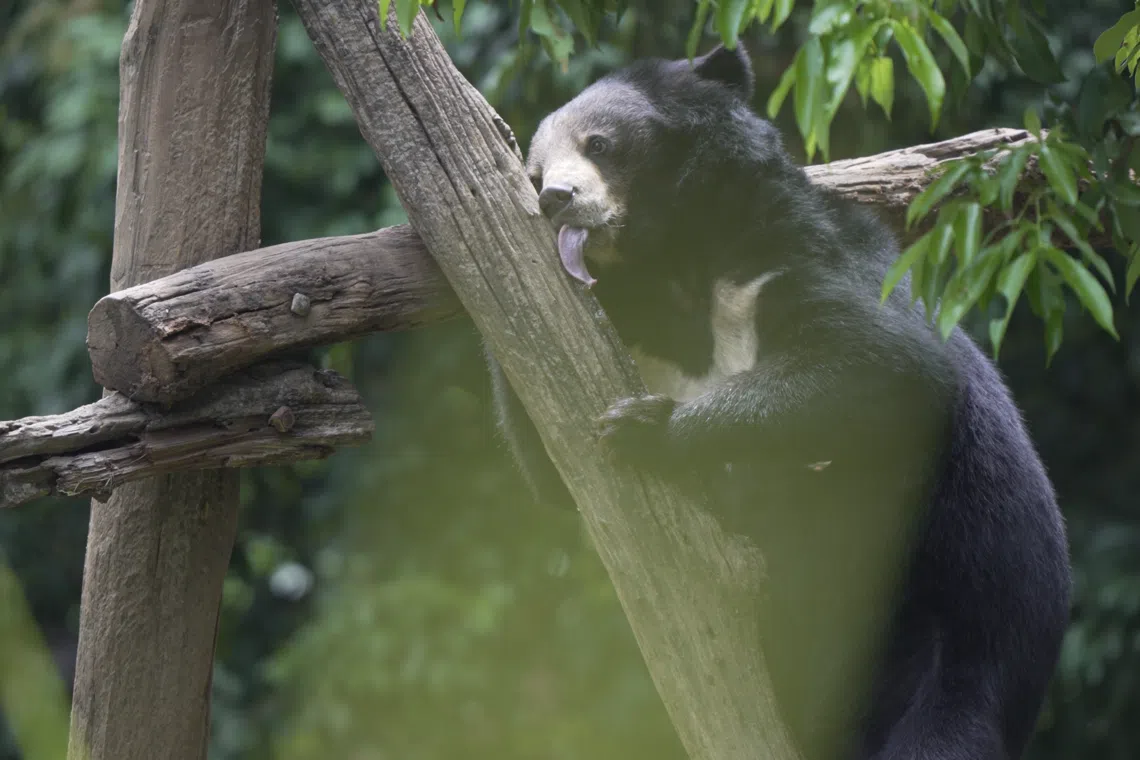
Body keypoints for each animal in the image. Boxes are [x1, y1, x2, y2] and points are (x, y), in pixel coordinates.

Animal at [485, 44, 1072, 760]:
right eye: (536, 171)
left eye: (601, 143)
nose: (556, 199)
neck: (676, 261)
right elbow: (554, 464)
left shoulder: (797, 253)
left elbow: (891, 366)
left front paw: (646, 429)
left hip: (956, 623)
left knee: (940, 729)